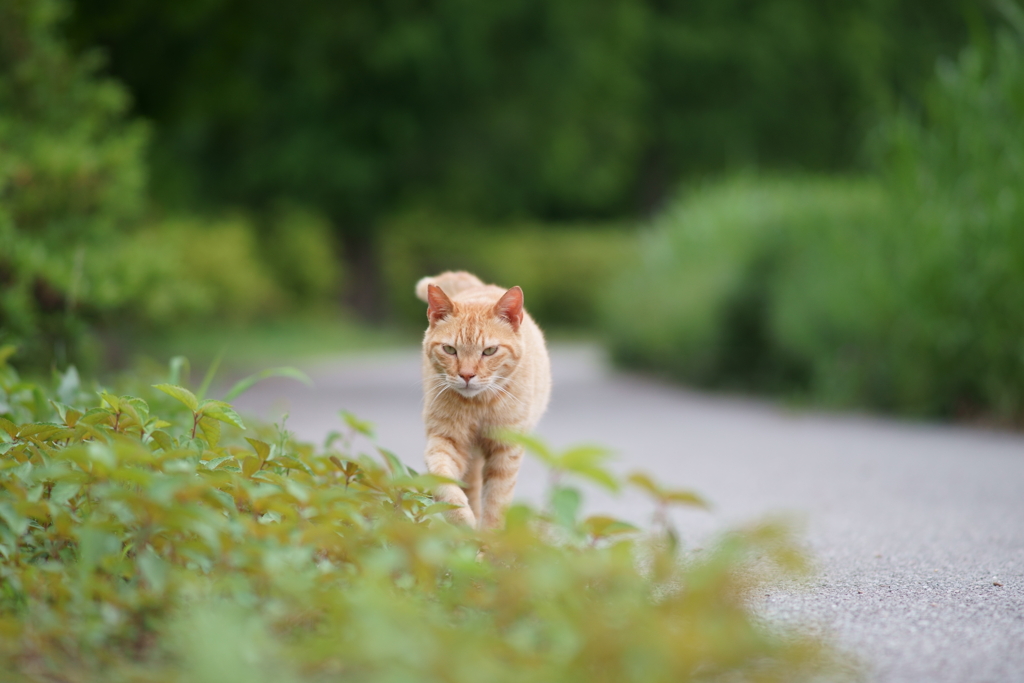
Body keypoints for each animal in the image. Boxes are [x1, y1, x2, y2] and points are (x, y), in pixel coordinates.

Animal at [415, 270, 552, 528]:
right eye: (450, 350)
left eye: (489, 351)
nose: (467, 375)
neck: (479, 405)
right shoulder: (446, 441)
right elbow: (444, 482)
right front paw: (462, 518)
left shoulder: (505, 452)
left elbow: (496, 503)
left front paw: (489, 535)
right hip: (471, 456)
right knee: (471, 486)